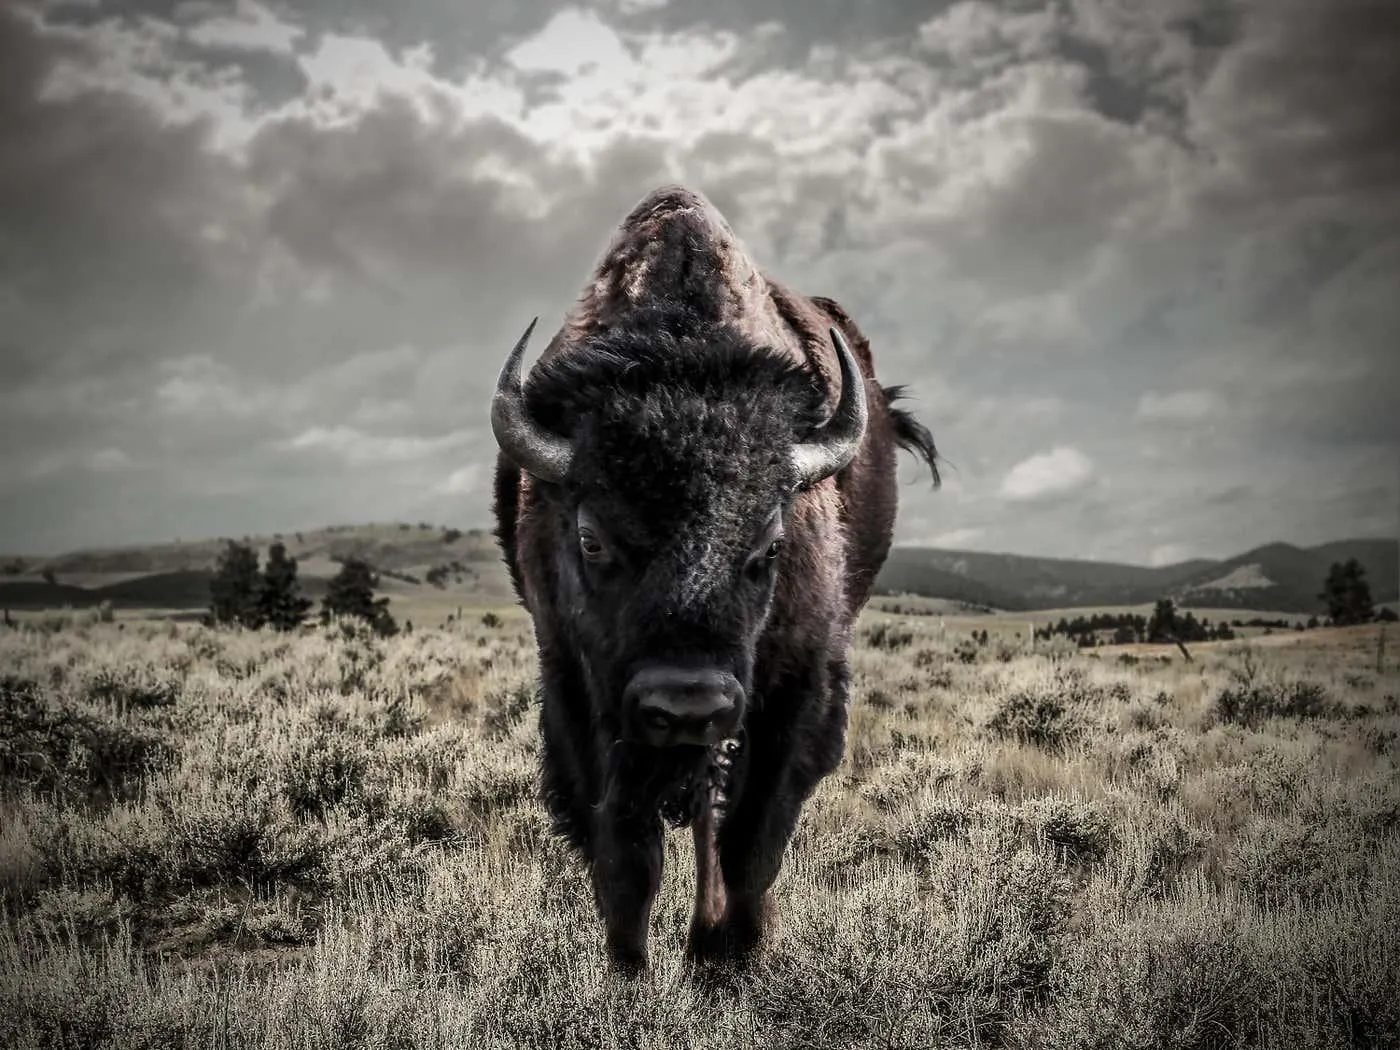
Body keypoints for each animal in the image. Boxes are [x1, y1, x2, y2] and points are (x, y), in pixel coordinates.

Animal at [490, 185, 939, 973]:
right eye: (591, 539)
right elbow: (625, 853)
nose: (688, 704)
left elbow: (750, 842)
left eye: (771, 545)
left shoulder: (797, 690)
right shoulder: (576, 689)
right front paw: (630, 968)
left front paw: (731, 957)